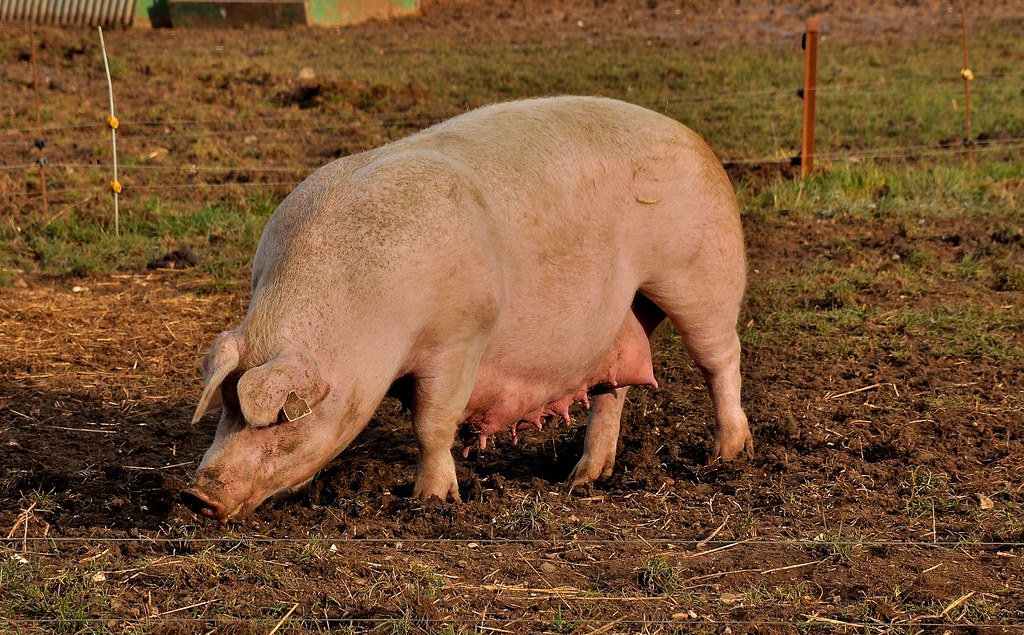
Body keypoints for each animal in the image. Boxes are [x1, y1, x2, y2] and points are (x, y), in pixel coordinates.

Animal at [180, 96, 751, 523]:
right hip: (625, 313)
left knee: (721, 360)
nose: (196, 495)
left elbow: (432, 425)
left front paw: (431, 501)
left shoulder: (460, 335)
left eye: (279, 420)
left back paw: (727, 455)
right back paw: (581, 480)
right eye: (225, 407)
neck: (365, 322)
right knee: (611, 390)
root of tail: (690, 135)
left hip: (700, 275)